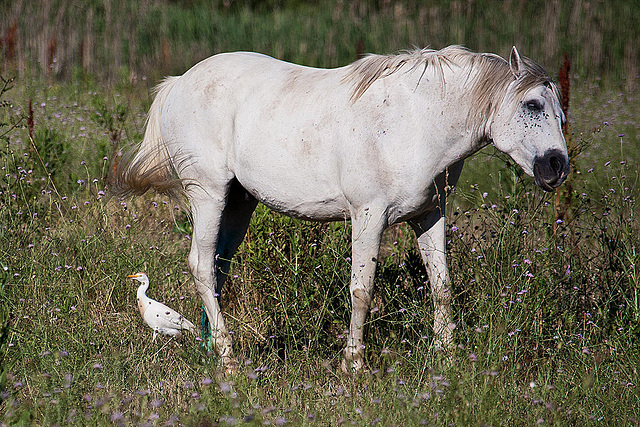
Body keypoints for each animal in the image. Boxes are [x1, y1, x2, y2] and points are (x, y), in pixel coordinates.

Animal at [112, 45, 568, 374]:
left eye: (560, 113)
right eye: (532, 105)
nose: (556, 167)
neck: (416, 122)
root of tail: (179, 82)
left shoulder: (430, 215)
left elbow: (442, 285)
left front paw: (448, 356)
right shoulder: (369, 216)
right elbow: (361, 290)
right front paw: (354, 364)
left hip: (237, 202)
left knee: (217, 267)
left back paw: (211, 349)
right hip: (207, 193)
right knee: (202, 266)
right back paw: (226, 357)